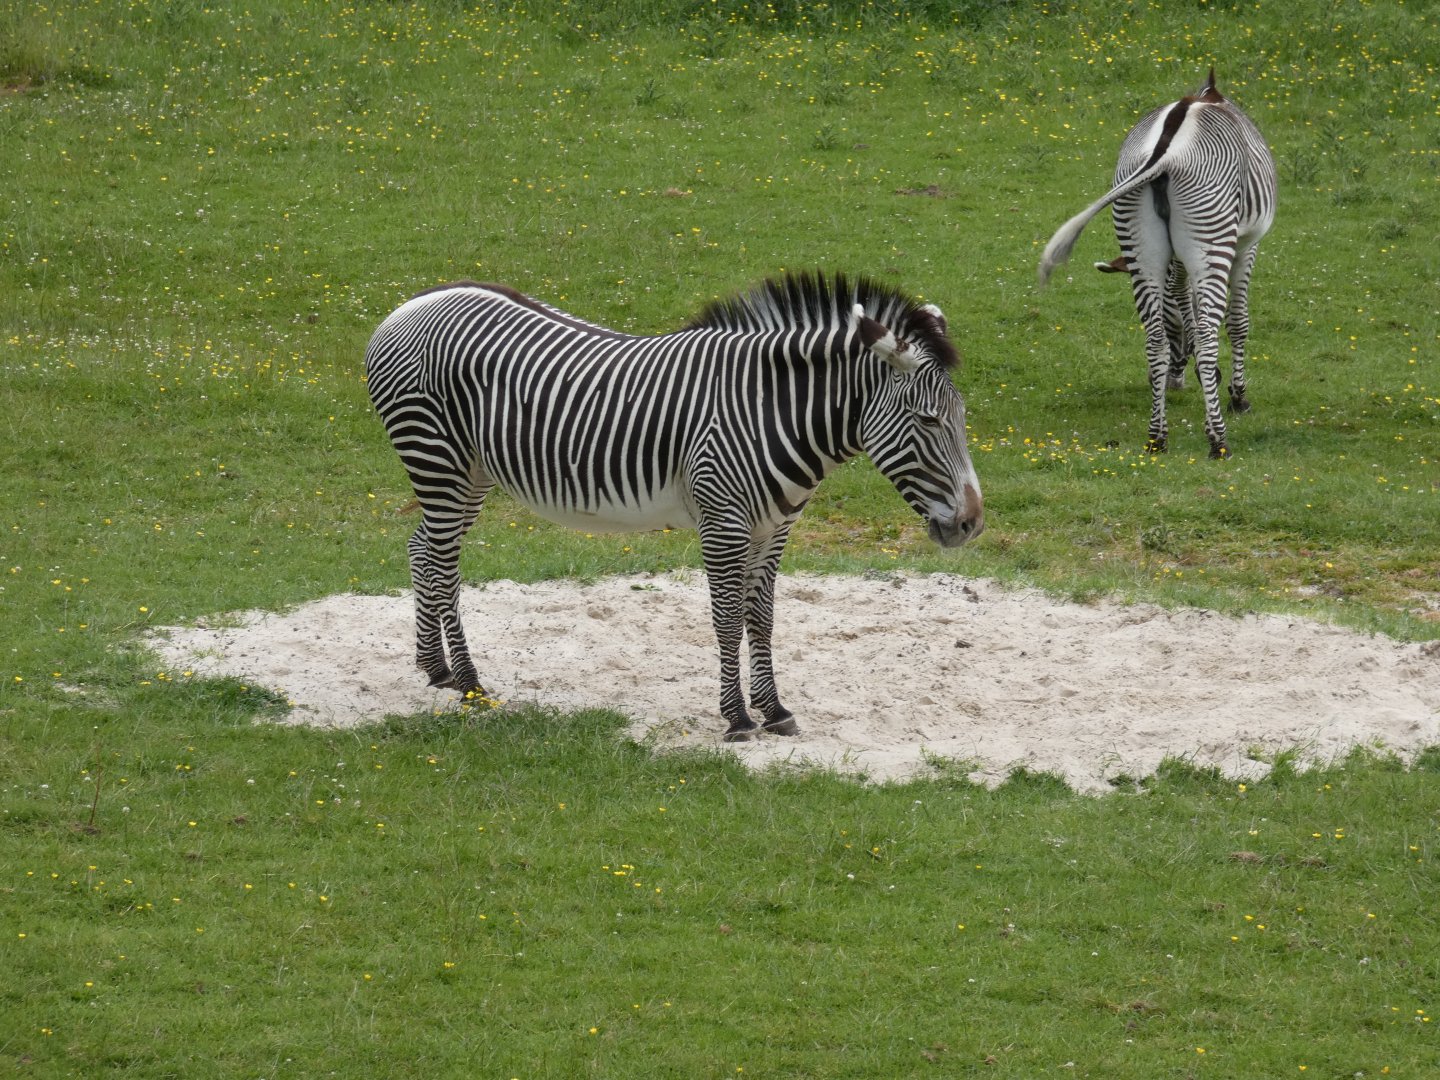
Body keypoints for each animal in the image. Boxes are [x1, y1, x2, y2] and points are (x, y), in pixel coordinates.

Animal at [364, 271, 984, 742]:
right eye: (928, 420)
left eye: (961, 417)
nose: (972, 524)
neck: (769, 411)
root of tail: (411, 303)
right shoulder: (724, 523)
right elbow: (727, 619)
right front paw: (737, 719)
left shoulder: (775, 527)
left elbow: (762, 619)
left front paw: (775, 710)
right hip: (436, 457)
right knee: (442, 561)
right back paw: (470, 683)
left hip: (470, 473)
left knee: (424, 550)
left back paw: (437, 669)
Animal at [1038, 67, 1277, 458]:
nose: (1172, 382)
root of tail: (1165, 155)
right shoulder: (1247, 245)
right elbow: (1236, 321)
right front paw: (1237, 395)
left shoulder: (1176, 263)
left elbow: (1184, 303)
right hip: (1212, 237)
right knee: (1209, 336)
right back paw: (1217, 440)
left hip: (1139, 243)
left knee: (1154, 340)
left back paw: (1157, 436)